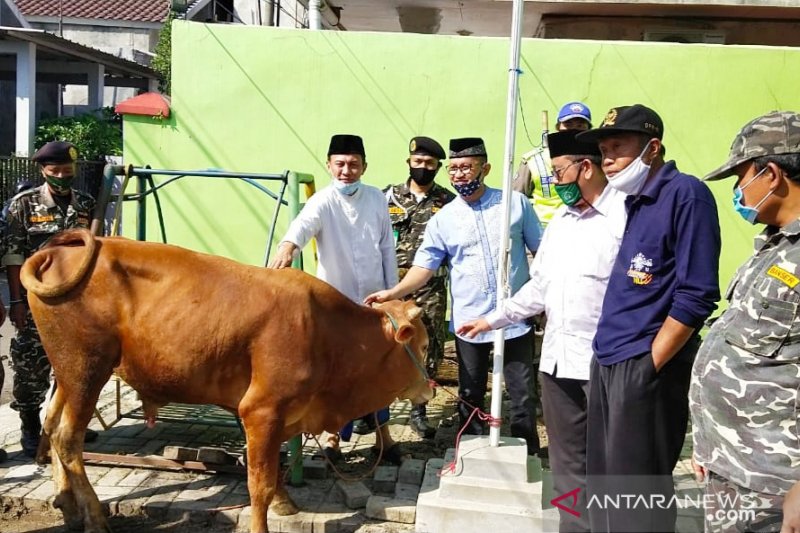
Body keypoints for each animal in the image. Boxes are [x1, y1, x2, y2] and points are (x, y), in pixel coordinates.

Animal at [20, 229, 432, 532]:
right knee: (67, 438)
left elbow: (273, 468)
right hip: (86, 369)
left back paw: (67, 506)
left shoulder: (272, 415)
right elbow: (259, 485)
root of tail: (59, 251)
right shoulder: (261, 410)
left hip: (68, 374)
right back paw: (94, 519)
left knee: (51, 424)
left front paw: (285, 501)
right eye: (425, 346)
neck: (325, 331)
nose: (429, 390)